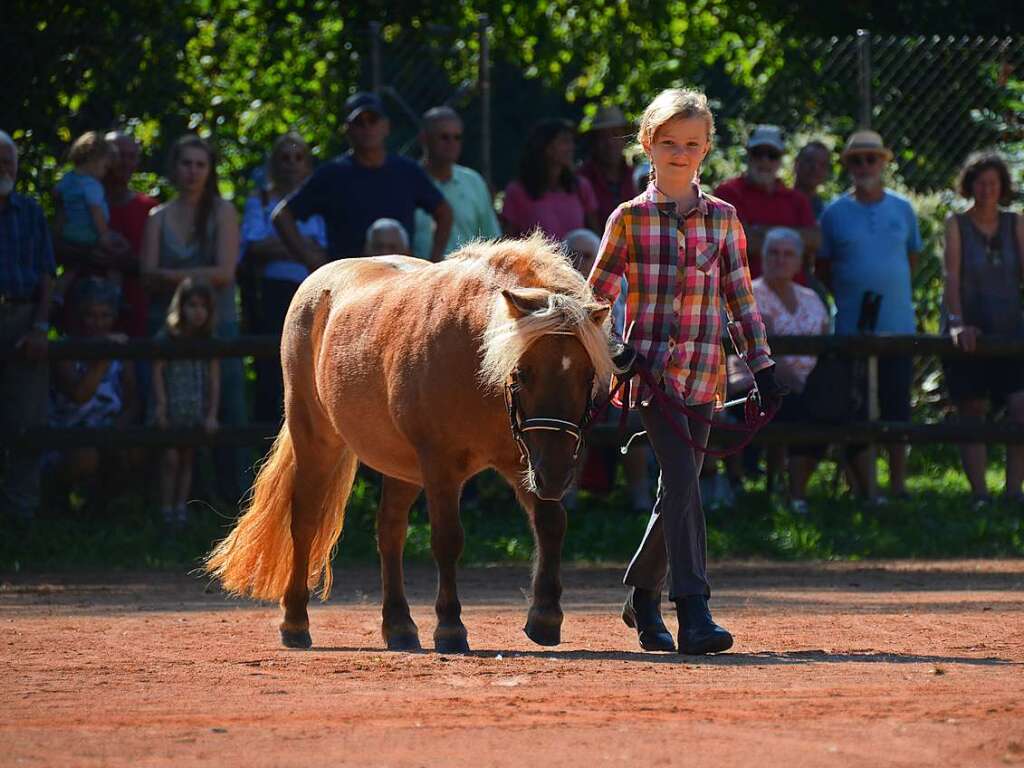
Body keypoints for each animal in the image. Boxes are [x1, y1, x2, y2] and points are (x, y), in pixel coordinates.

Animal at [203, 231, 610, 651]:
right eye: (523, 373)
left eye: (587, 375)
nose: (558, 475)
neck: (473, 354)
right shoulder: (441, 465)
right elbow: (447, 539)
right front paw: (450, 627)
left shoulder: (525, 459)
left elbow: (550, 523)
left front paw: (545, 617)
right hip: (315, 438)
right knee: (305, 520)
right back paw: (295, 622)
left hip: (403, 468)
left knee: (390, 532)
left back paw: (398, 624)